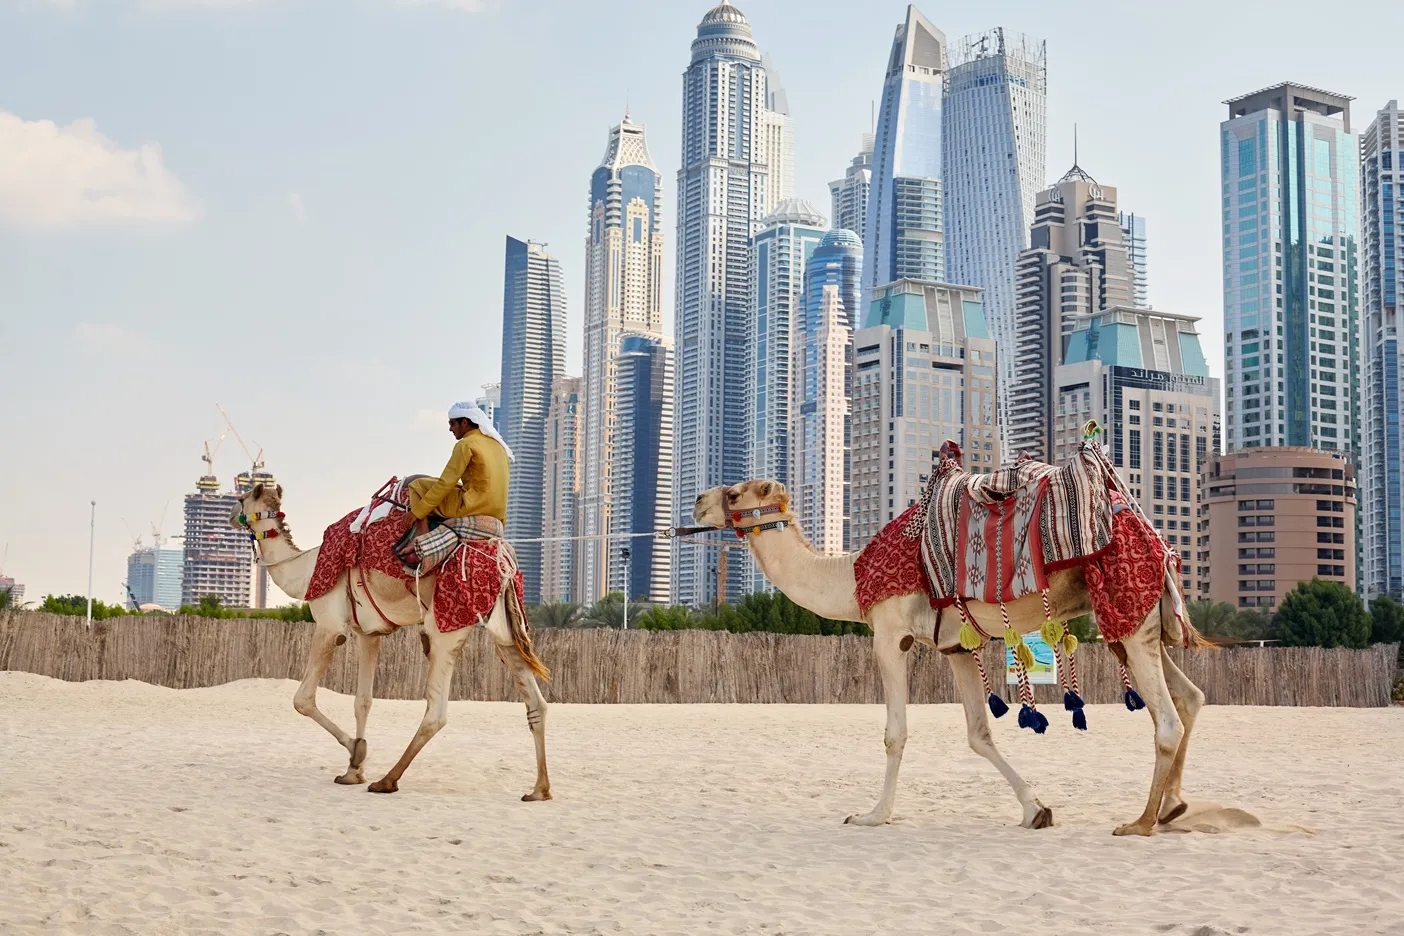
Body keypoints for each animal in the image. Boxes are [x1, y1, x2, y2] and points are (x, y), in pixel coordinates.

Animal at [230, 483, 552, 800]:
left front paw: (356, 751)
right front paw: (353, 770)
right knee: (536, 702)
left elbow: (303, 699)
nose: (232, 514)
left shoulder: (329, 626)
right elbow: (363, 701)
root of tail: (504, 561)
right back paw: (540, 789)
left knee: (436, 713)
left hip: (445, 627)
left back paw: (387, 780)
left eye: (242, 498)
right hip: (506, 629)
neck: (305, 571)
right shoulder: (368, 634)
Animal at [692, 479, 1206, 836]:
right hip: (1139, 622)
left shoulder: (890, 634)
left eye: (734, 493)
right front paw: (1035, 810)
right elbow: (979, 734)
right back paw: (1174, 807)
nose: (698, 501)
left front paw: (872, 815)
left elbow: (895, 734)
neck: (850, 575)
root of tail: (1157, 540)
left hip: (1126, 610)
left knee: (1166, 719)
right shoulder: (958, 645)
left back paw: (1140, 822)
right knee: (1190, 697)